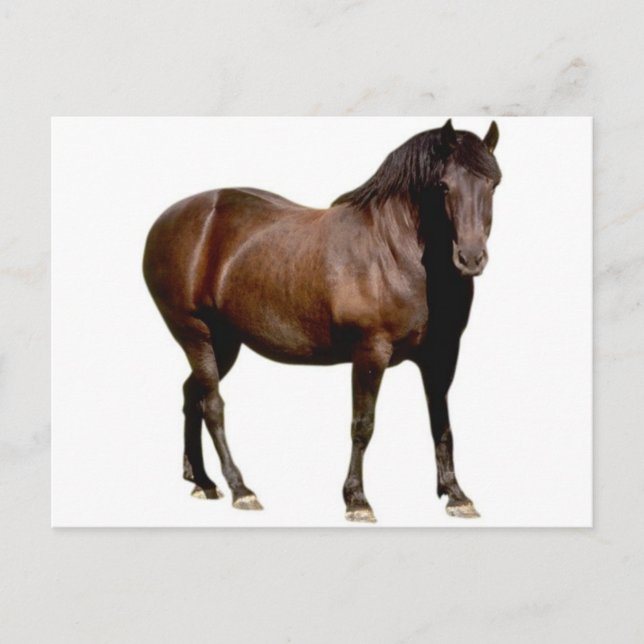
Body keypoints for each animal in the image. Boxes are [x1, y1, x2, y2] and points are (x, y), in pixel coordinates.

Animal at [143, 119, 501, 523]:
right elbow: (363, 425)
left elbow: (442, 425)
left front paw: (456, 495)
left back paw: (202, 481)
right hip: (195, 334)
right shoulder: (371, 352)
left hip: (225, 342)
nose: (470, 258)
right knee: (212, 405)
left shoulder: (442, 355)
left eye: (493, 183)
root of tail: (166, 220)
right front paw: (357, 500)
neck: (396, 253)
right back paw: (241, 489)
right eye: (443, 185)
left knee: (193, 395)